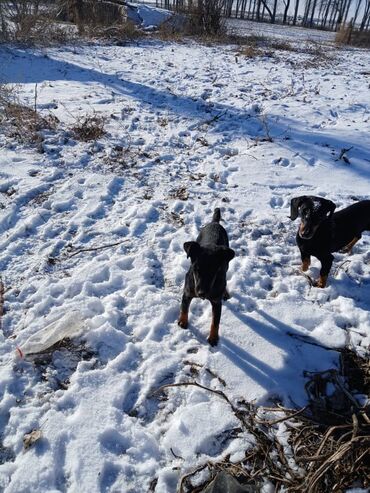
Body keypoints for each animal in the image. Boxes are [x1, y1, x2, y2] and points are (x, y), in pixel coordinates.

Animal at [178, 208, 236, 346]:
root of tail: (215, 222)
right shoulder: (187, 292)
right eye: (196, 269)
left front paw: (213, 338)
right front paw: (183, 321)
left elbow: (215, 322)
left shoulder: (216, 302)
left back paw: (225, 293)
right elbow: (184, 307)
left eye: (213, 271)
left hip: (226, 262)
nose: (201, 293)